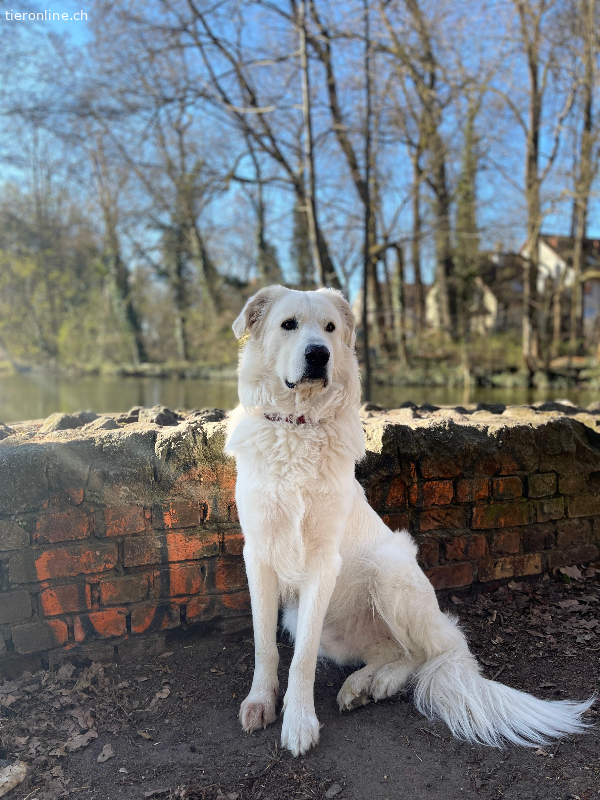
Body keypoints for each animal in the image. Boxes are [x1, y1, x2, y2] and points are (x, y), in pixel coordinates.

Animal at [225, 285, 593, 757]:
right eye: (288, 324)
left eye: (329, 327)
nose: (319, 354)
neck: (298, 424)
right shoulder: (259, 555)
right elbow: (264, 645)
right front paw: (260, 701)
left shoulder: (322, 563)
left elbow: (302, 657)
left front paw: (300, 719)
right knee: (392, 653)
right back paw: (363, 684)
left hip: (390, 571)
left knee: (425, 655)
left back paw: (376, 684)